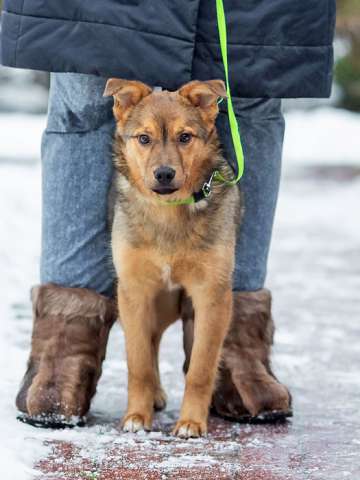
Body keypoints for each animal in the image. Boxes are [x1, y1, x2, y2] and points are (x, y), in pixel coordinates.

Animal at [103, 79, 239, 438]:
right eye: (144, 138)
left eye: (185, 137)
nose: (164, 174)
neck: (169, 213)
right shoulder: (134, 291)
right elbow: (138, 363)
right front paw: (137, 416)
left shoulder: (212, 296)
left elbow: (200, 368)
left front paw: (191, 421)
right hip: (153, 302)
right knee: (150, 344)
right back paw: (154, 396)